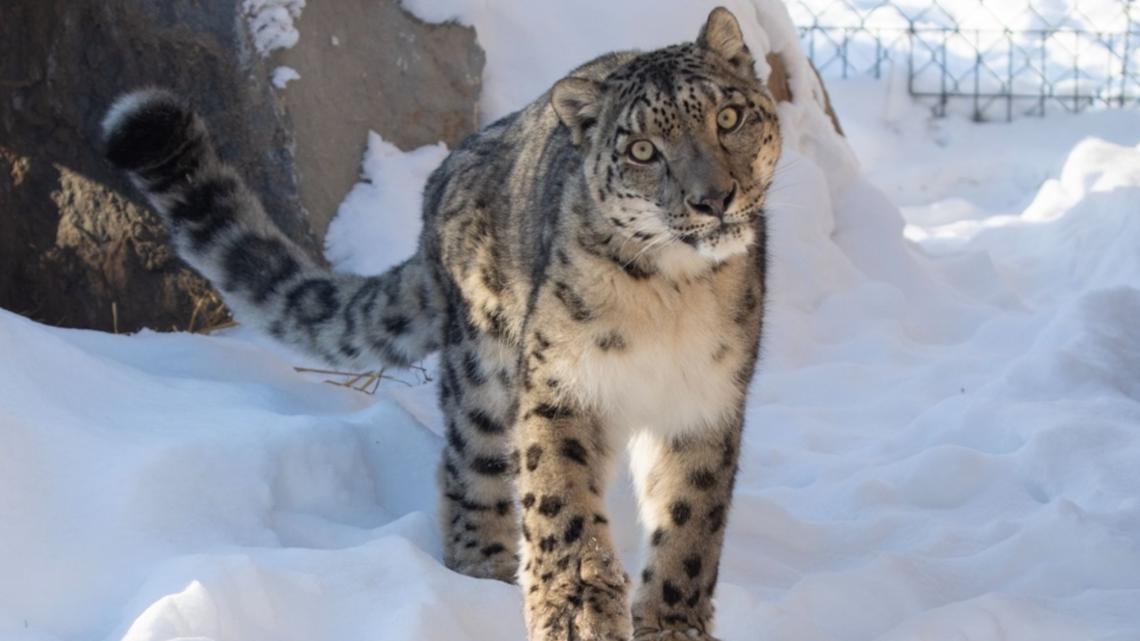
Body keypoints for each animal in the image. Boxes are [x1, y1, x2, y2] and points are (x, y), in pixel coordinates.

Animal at [100, 7, 781, 640]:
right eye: (643, 150)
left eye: (727, 118)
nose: (713, 199)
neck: (672, 297)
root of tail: (437, 189)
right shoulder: (563, 383)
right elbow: (561, 501)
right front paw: (579, 613)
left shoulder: (706, 402)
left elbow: (690, 521)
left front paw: (673, 624)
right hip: (482, 368)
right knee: (469, 470)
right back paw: (483, 574)